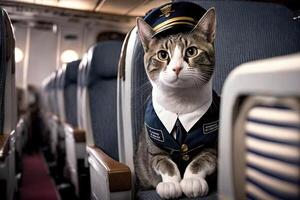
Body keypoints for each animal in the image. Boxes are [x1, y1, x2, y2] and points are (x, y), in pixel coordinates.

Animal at [135, 7, 218, 198]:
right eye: (162, 54)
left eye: (191, 51)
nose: (177, 68)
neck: (180, 103)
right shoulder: (153, 146)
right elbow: (163, 162)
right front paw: (171, 183)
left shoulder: (213, 145)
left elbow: (203, 159)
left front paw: (192, 180)